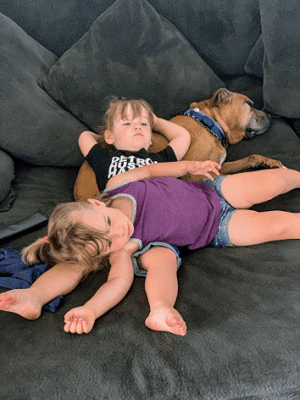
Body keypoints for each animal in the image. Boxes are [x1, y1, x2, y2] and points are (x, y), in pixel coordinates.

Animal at [72, 87, 282, 200]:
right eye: (249, 104)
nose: (271, 115)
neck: (207, 123)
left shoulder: (218, 166)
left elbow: (249, 158)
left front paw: (267, 162)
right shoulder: (195, 175)